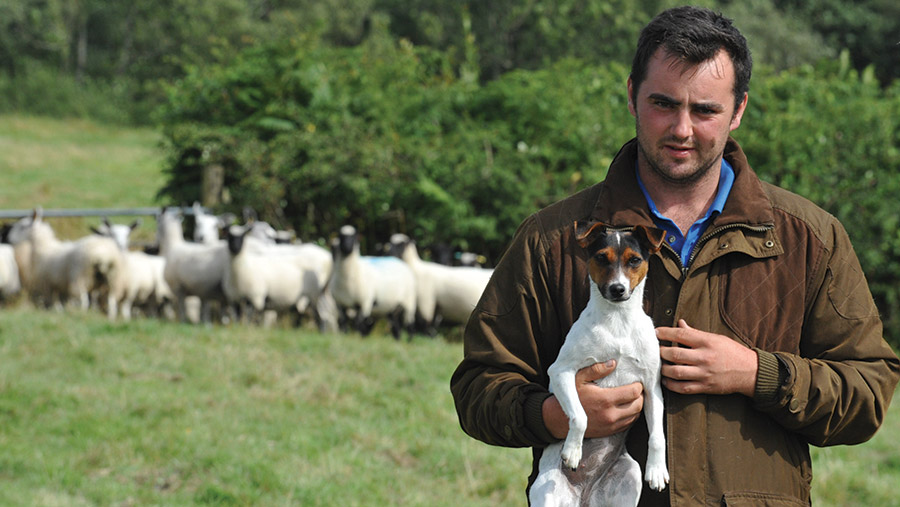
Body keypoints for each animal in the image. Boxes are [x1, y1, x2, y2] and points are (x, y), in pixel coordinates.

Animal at [528, 221, 668, 507]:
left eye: (634, 260)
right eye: (602, 258)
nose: (618, 289)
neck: (618, 322)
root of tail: (584, 496)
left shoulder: (652, 388)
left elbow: (658, 436)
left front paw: (657, 470)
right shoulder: (561, 371)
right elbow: (580, 415)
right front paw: (573, 450)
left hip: (629, 477)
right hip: (548, 493)